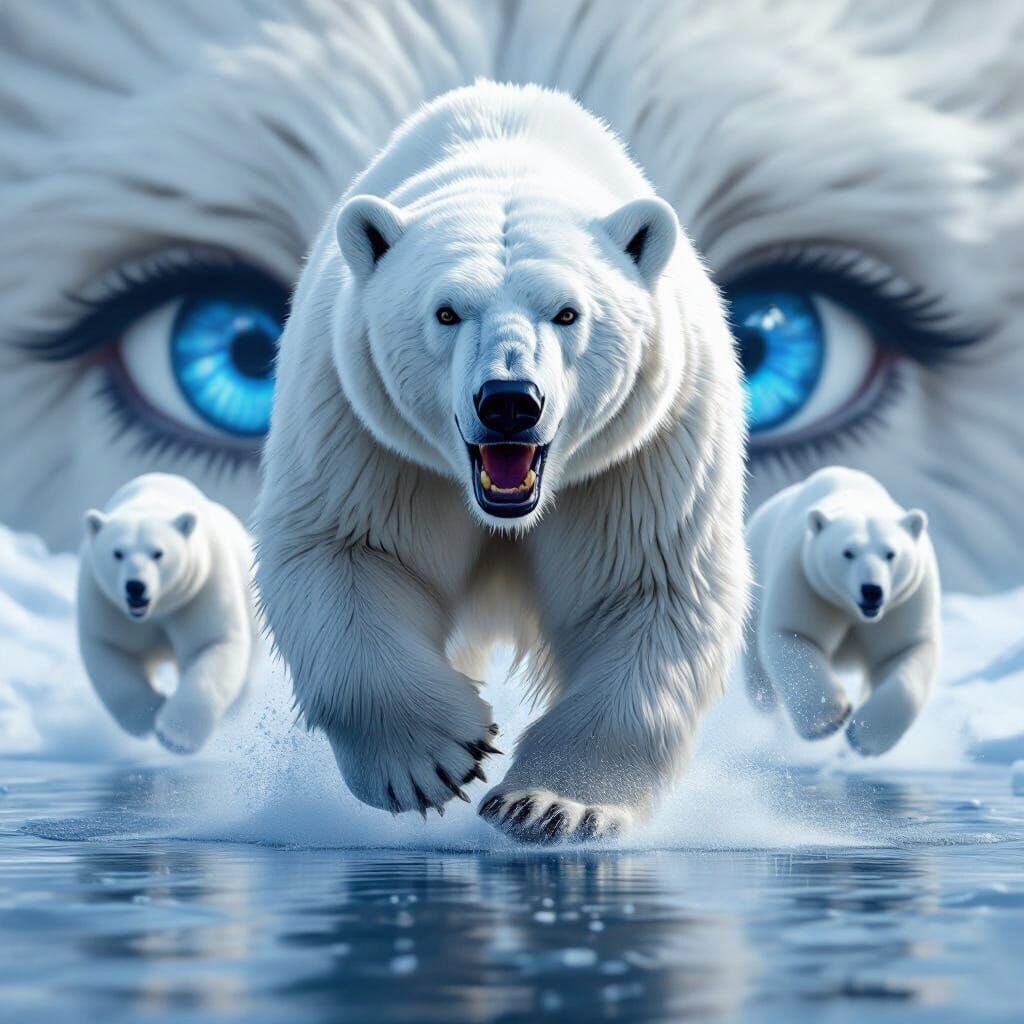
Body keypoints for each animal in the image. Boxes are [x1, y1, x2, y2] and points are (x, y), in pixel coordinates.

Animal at [78, 473, 256, 754]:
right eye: (117, 553)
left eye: (158, 553)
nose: (135, 587)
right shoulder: (106, 603)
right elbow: (112, 649)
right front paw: (148, 713)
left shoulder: (199, 589)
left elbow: (211, 642)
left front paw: (175, 736)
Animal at [254, 81, 750, 843]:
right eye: (447, 312)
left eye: (568, 313)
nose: (510, 401)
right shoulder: (363, 432)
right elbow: (345, 552)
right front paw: (433, 758)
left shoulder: (643, 452)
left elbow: (648, 586)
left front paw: (553, 804)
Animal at [743, 466, 940, 756]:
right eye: (848, 552)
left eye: (890, 553)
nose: (872, 590)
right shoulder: (807, 582)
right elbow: (794, 634)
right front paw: (829, 720)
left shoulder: (904, 601)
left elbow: (905, 651)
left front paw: (862, 735)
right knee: (760, 680)